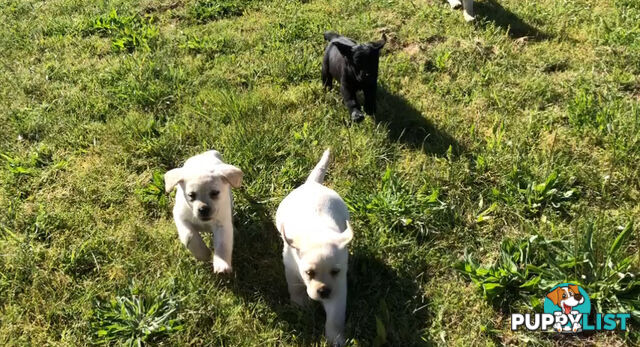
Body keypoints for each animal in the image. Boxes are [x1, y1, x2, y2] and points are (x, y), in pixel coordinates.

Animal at [276, 150, 356, 347]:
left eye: (335, 272)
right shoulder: (291, 268)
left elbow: (335, 318)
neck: (317, 233)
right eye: (309, 273)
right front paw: (300, 305)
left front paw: (336, 339)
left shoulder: (338, 288)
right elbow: (295, 288)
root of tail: (313, 184)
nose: (324, 292)